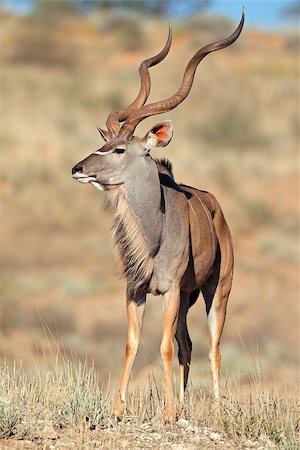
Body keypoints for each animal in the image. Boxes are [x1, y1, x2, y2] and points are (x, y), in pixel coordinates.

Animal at [72, 12, 244, 424]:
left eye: (119, 149)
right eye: (103, 142)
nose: (77, 168)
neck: (154, 236)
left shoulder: (168, 290)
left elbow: (163, 346)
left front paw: (166, 413)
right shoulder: (136, 290)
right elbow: (132, 343)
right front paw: (118, 409)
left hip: (215, 290)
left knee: (212, 345)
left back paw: (215, 410)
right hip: (187, 298)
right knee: (188, 343)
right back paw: (183, 405)